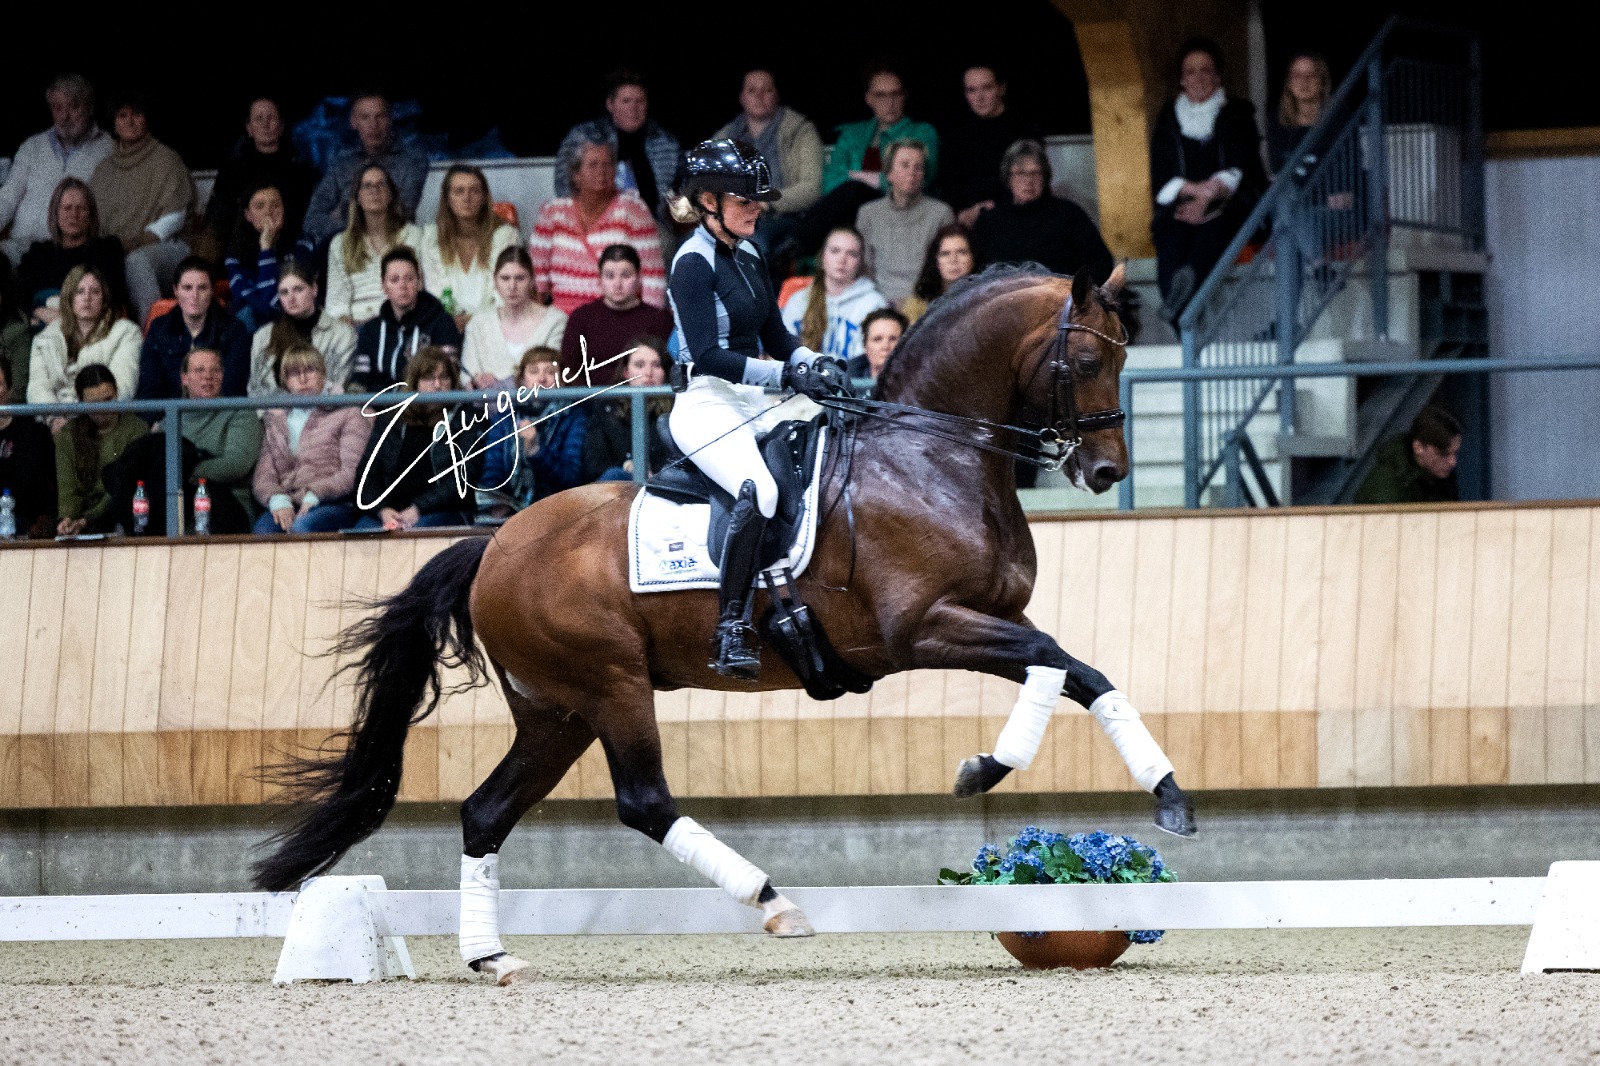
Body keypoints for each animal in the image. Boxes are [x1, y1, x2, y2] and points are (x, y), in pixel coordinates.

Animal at [252, 263, 1197, 983]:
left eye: (1121, 355)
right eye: (1085, 356)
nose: (1106, 470)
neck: (934, 456)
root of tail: (493, 545)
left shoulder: (990, 618)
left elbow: (1078, 671)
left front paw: (1167, 799)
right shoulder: (923, 630)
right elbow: (1053, 661)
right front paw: (984, 770)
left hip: (558, 711)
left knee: (485, 814)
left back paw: (493, 958)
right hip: (612, 686)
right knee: (644, 801)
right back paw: (773, 904)